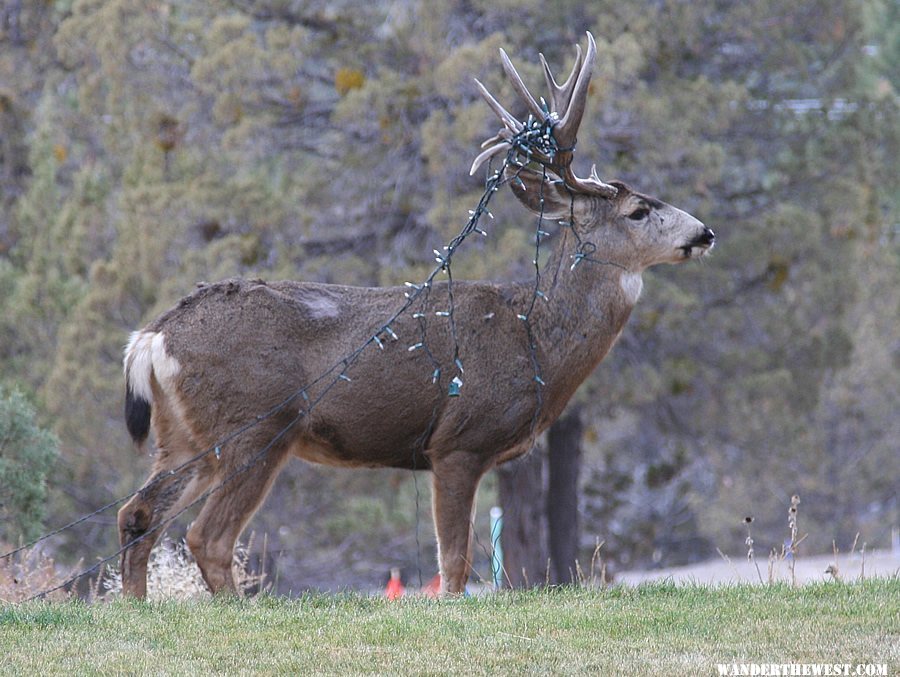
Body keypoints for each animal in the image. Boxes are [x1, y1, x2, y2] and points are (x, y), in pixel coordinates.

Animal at [119, 33, 712, 596]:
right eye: (638, 211)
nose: (705, 232)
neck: (536, 339)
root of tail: (151, 337)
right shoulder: (457, 441)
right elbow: (453, 563)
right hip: (256, 424)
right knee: (207, 535)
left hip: (185, 437)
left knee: (137, 513)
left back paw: (136, 605)